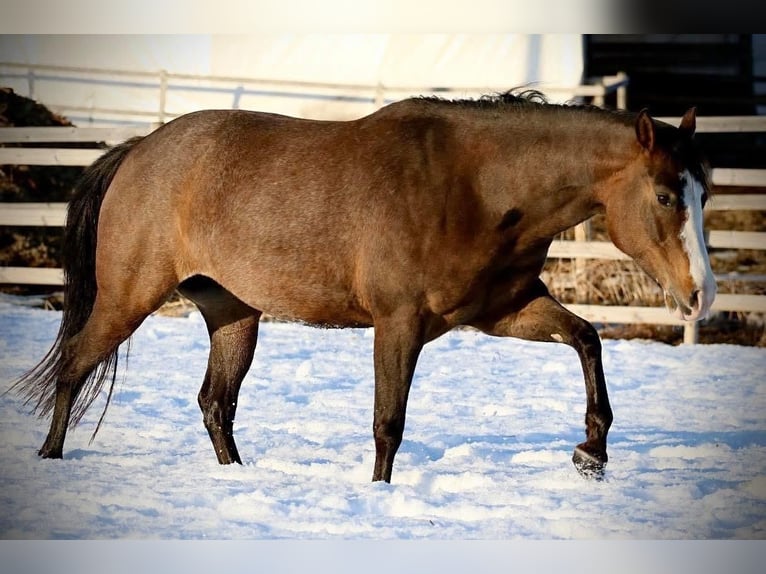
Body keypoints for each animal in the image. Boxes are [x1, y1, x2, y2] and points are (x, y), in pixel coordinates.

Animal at [11, 90, 716, 482]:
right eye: (663, 195)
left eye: (704, 193)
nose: (702, 294)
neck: (476, 185)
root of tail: (139, 150)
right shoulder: (399, 323)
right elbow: (388, 424)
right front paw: (380, 495)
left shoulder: (504, 310)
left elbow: (587, 338)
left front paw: (592, 450)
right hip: (128, 298)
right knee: (75, 365)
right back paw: (49, 461)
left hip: (233, 314)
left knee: (215, 404)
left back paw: (236, 479)